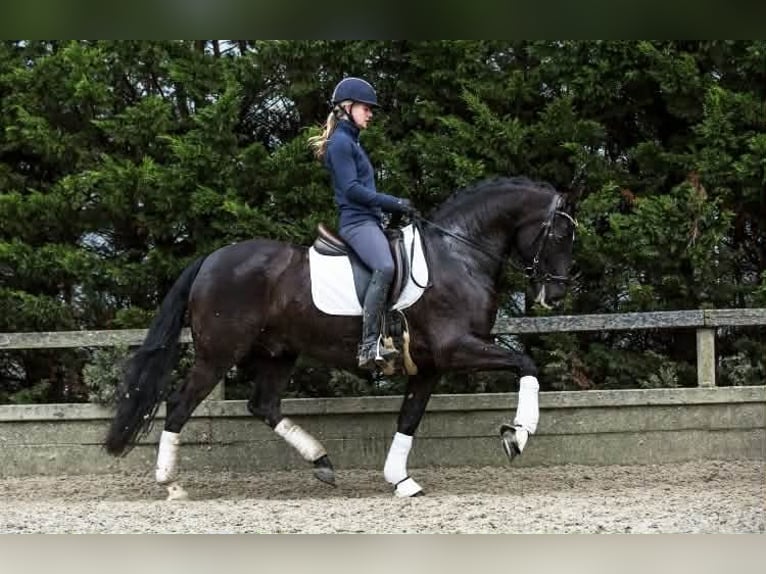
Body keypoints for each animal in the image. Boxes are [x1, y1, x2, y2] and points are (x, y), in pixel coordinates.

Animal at [104, 176, 577, 500]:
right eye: (559, 233)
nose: (555, 294)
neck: (457, 255)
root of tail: (211, 260)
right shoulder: (455, 348)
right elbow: (526, 365)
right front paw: (518, 434)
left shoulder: (428, 365)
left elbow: (409, 419)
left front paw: (401, 481)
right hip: (219, 354)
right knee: (179, 405)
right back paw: (171, 484)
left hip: (279, 352)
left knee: (264, 405)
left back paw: (322, 461)